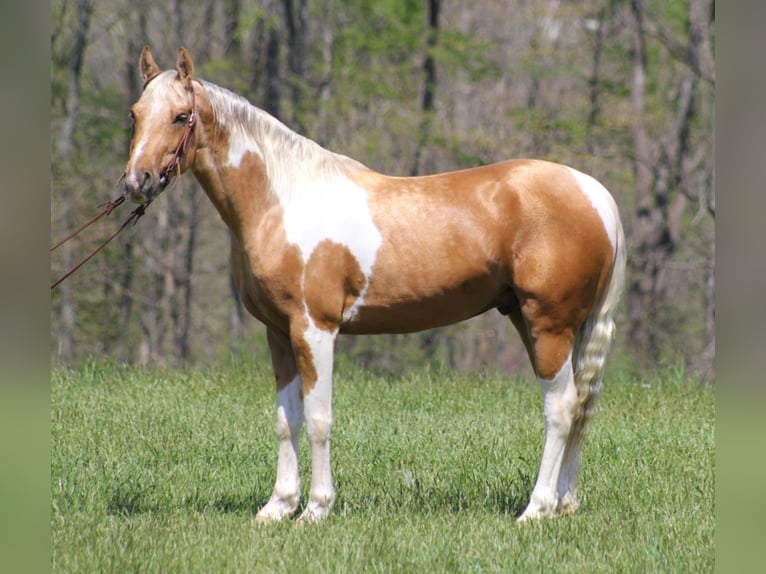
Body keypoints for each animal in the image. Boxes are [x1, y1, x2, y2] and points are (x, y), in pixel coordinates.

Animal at [126, 48, 628, 528]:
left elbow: (318, 419)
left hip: (549, 324)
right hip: (536, 322)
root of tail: (594, 194)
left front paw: (315, 509)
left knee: (560, 408)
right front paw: (278, 507)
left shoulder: (315, 329)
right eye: (135, 114)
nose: (137, 181)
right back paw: (564, 503)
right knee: (579, 403)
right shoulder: (279, 332)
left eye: (180, 116)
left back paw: (536, 509)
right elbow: (287, 420)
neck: (283, 200)